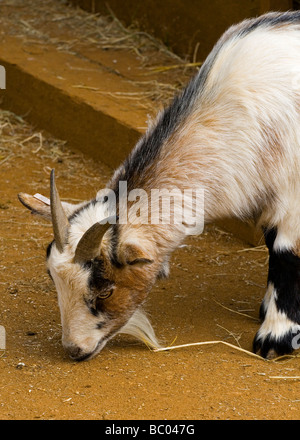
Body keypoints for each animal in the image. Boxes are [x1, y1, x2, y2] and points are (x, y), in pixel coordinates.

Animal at [19, 11, 300, 360]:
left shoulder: (292, 197)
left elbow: (285, 253)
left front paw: (276, 336)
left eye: (105, 289)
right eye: (52, 278)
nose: (74, 349)